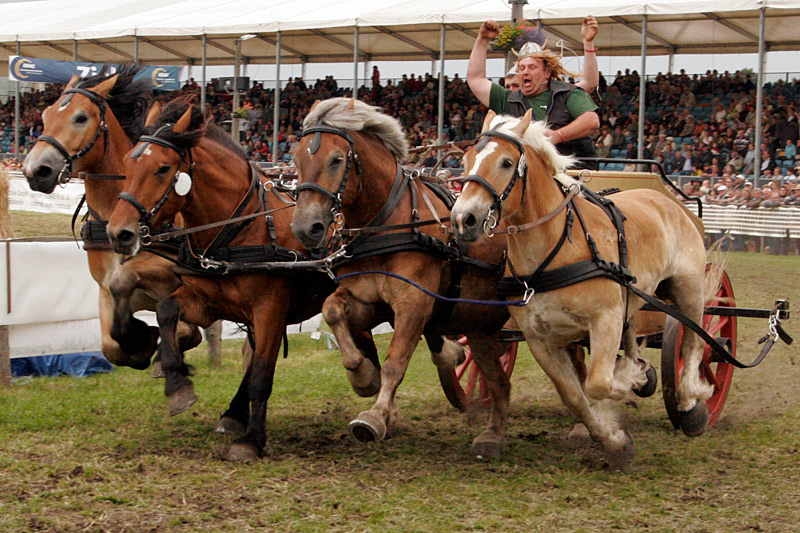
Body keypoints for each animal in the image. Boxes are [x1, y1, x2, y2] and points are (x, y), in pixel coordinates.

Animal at [21, 63, 206, 370]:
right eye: (45, 115)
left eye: (81, 117)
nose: (36, 170)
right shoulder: (104, 290)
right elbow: (112, 346)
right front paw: (142, 341)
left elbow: (186, 331)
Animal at [104, 101, 332, 462]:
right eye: (128, 162)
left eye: (163, 168)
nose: (119, 232)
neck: (238, 231)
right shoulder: (207, 302)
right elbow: (166, 309)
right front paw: (176, 383)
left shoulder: (270, 309)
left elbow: (262, 373)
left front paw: (252, 440)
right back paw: (233, 413)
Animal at [290, 98, 510, 458]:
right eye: (296, 160)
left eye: (336, 159)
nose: (306, 228)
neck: (388, 224)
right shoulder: (368, 299)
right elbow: (332, 311)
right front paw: (363, 376)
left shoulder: (413, 301)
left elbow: (396, 361)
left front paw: (374, 418)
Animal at [450, 109, 720, 466]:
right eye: (466, 159)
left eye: (506, 163)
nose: (462, 219)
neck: (555, 249)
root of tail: (664, 199)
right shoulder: (541, 340)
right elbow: (574, 395)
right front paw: (612, 438)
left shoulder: (605, 320)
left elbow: (598, 384)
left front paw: (630, 382)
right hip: (634, 300)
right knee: (637, 336)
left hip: (688, 289)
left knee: (693, 343)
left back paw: (691, 401)